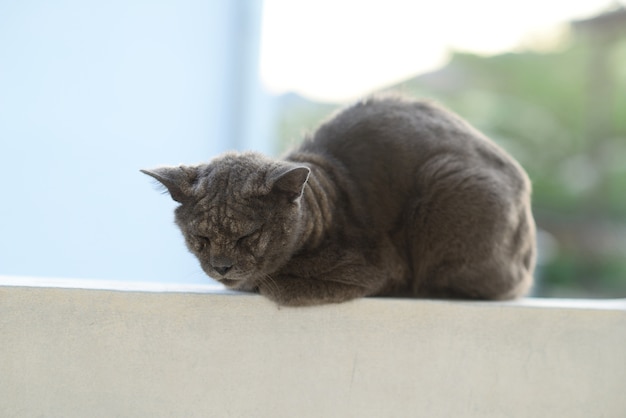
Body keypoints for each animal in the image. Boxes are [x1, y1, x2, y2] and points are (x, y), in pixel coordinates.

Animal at [140, 94, 532, 306]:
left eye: (248, 236)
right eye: (200, 238)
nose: (221, 266)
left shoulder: (369, 268)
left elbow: (274, 284)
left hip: (449, 183)